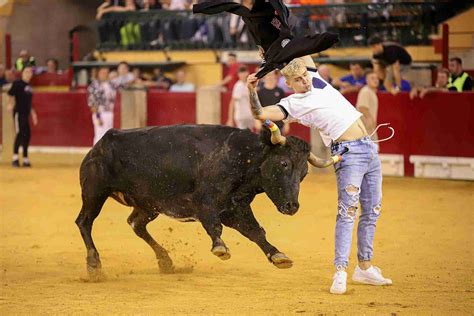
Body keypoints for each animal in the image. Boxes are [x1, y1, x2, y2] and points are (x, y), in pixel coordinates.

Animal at [77, 124, 312, 276]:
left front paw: (278, 256)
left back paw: (166, 261)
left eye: (304, 174)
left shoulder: (236, 208)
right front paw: (220, 248)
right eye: (284, 163)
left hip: (149, 204)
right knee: (84, 222)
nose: (292, 206)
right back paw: (94, 265)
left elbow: (256, 232)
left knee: (136, 224)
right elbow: (214, 225)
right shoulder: (205, 203)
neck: (242, 157)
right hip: (95, 192)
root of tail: (98, 146)